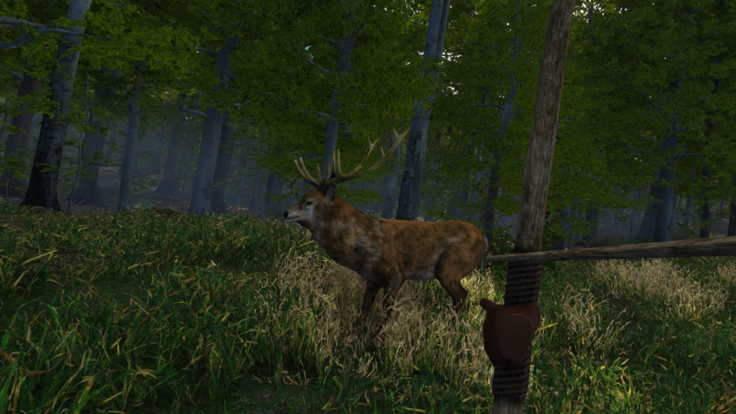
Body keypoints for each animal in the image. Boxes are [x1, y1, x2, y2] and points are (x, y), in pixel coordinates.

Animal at [284, 128, 488, 343]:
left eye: (310, 202)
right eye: (303, 197)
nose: (285, 212)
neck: (362, 246)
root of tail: (483, 237)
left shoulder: (397, 274)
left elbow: (386, 312)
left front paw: (376, 343)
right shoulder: (372, 278)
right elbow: (364, 308)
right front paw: (351, 338)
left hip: (449, 268)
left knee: (461, 295)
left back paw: (448, 333)